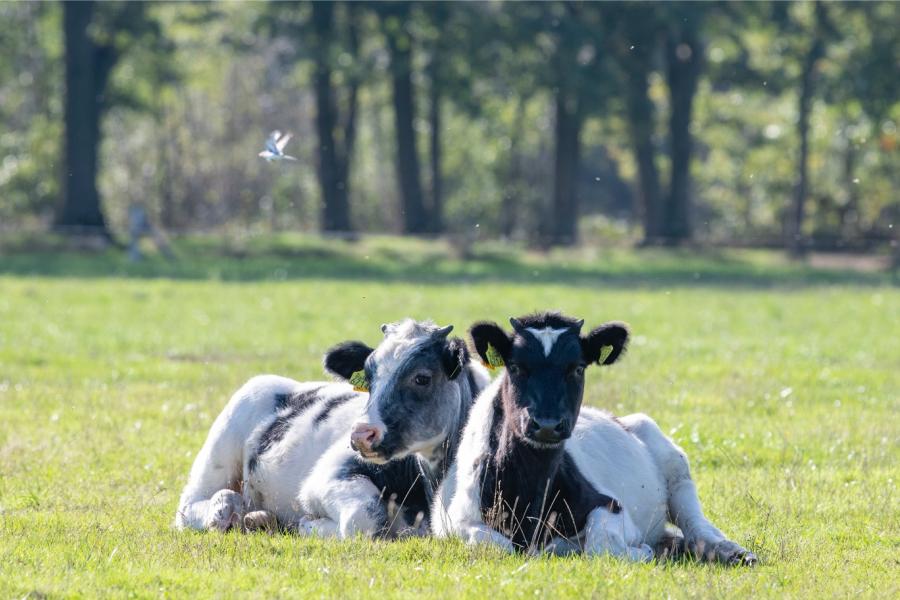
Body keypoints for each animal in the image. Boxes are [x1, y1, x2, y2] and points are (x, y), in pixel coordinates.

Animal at [173, 318, 488, 540]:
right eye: (368, 377)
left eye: (422, 378)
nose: (361, 434)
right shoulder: (324, 477)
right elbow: (364, 517)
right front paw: (307, 525)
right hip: (217, 459)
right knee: (192, 507)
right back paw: (223, 511)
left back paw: (259, 518)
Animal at [432, 312, 756, 564]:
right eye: (515, 366)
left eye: (577, 367)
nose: (547, 425)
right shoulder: (457, 522)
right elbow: (498, 546)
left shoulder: (611, 505)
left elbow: (603, 545)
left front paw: (642, 551)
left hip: (675, 466)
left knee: (697, 526)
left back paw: (732, 553)